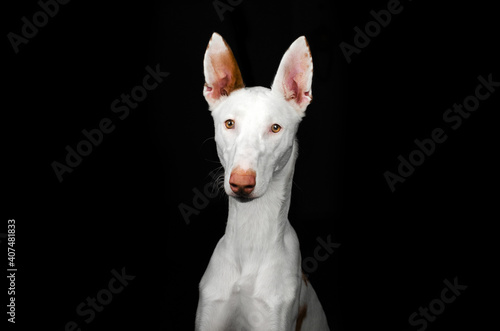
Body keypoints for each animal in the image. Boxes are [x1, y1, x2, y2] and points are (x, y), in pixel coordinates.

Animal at [196, 31, 332, 331]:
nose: (241, 182)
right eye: (230, 123)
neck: (250, 239)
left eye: (275, 128)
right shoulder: (209, 315)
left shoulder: (275, 316)